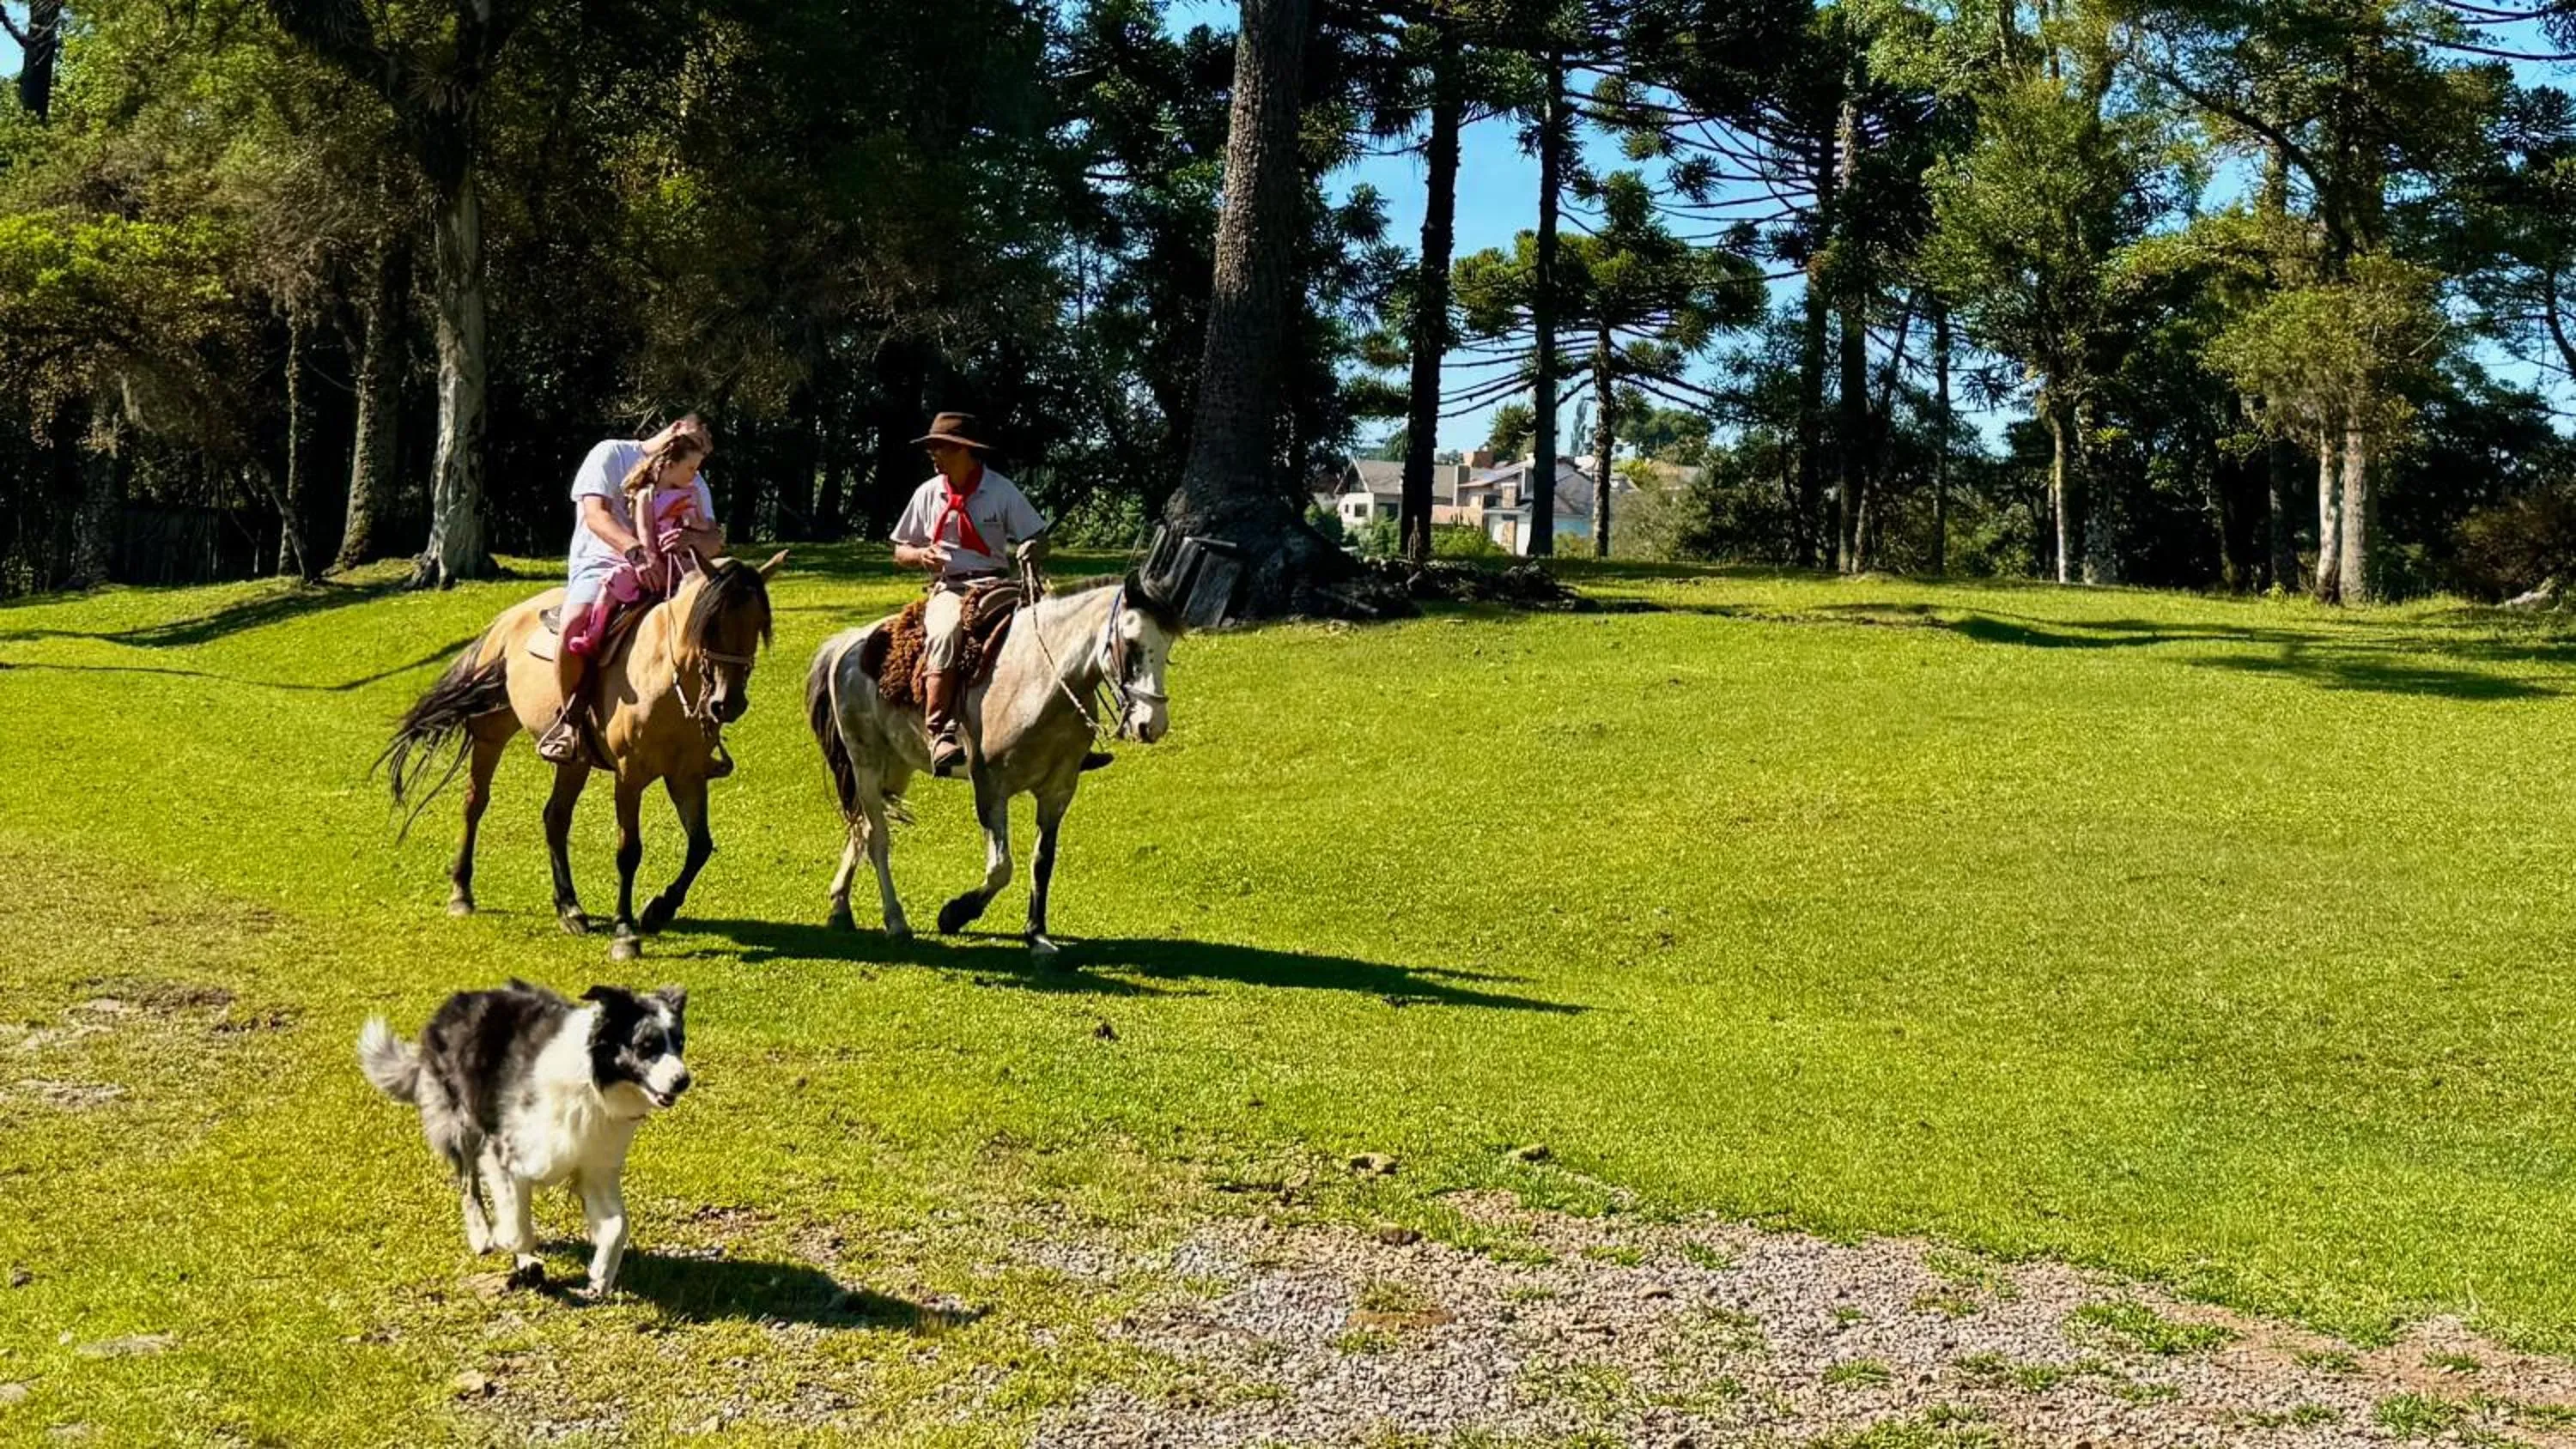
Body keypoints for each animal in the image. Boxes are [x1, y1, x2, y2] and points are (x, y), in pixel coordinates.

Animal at [380, 552, 786, 961]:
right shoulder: (629, 775)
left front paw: (657, 911)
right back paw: (462, 893)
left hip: (574, 761)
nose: (727, 704)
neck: (665, 680)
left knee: (555, 817)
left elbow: (700, 845)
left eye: (758, 624)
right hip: (491, 735)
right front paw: (625, 933)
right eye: (711, 624)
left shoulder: (687, 775)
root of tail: (504, 622)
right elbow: (629, 851)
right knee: (475, 804)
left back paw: (570, 908)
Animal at [805, 573, 1182, 960]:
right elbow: (1001, 868)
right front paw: (955, 913)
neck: (1038, 681)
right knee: (878, 838)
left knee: (861, 828)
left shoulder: (1059, 790)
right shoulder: (990, 786)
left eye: (1167, 646)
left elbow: (1042, 862)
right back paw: (896, 921)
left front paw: (1037, 935)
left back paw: (840, 906)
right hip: (864, 763)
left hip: (895, 768)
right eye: (1132, 644)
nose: (1152, 725)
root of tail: (850, 644)